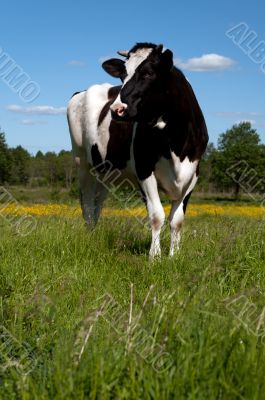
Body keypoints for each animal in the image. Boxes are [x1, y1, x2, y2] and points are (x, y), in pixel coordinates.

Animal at [67, 43, 207, 260]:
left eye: (148, 73)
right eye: (123, 75)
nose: (117, 109)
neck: (176, 142)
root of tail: (82, 91)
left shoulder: (193, 175)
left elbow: (177, 220)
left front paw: (174, 256)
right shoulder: (144, 169)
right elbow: (157, 215)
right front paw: (154, 257)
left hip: (106, 172)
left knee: (98, 202)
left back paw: (95, 234)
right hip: (81, 162)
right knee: (87, 202)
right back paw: (89, 236)